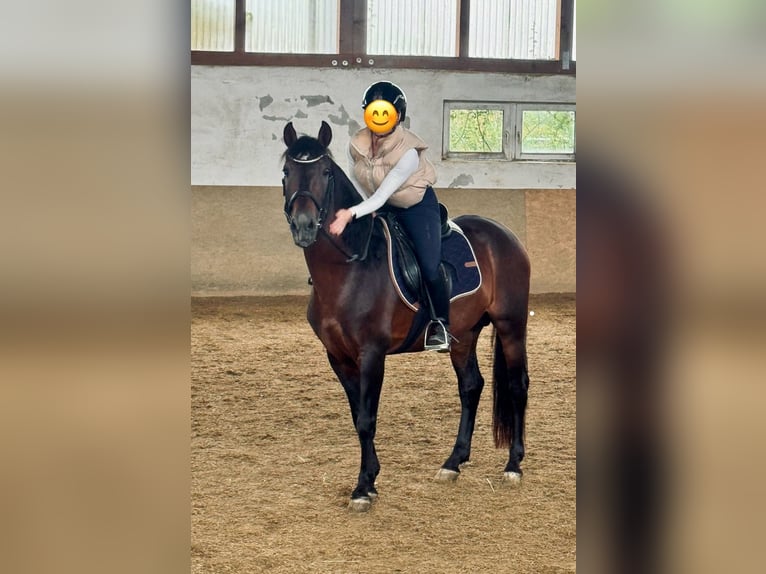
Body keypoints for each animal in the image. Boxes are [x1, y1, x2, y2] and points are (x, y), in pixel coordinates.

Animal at [281, 121, 531, 512]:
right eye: (286, 172)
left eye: (325, 173)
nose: (304, 226)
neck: (349, 269)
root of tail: (504, 234)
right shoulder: (338, 357)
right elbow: (357, 417)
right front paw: (370, 479)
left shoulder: (372, 354)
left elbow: (367, 419)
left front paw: (363, 488)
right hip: (464, 334)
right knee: (471, 386)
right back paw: (453, 462)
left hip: (511, 325)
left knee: (518, 385)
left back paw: (513, 465)